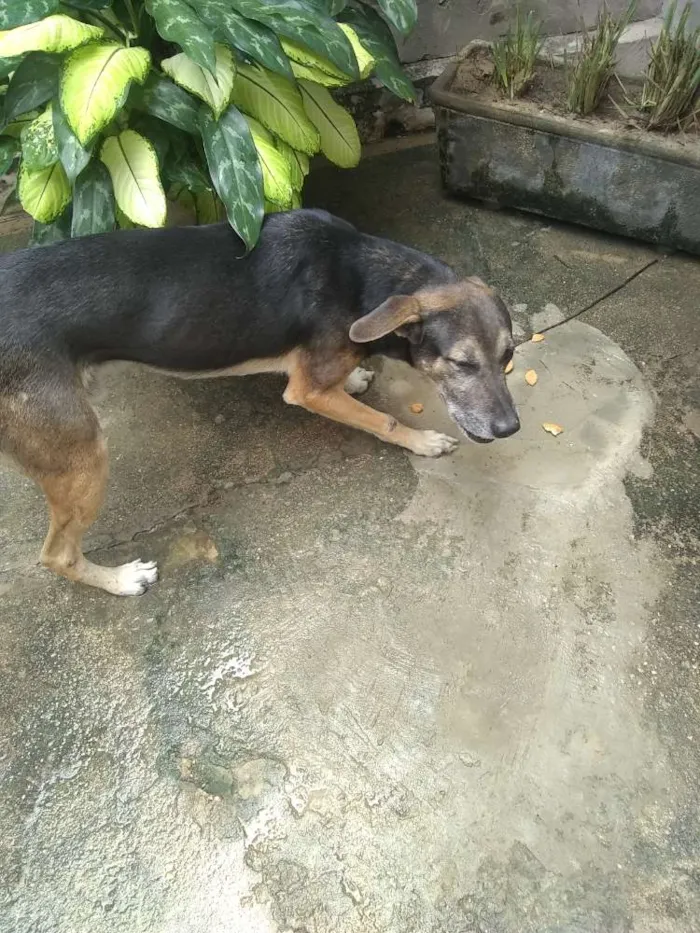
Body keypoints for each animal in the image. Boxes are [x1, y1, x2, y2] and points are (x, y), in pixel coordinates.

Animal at [0, 208, 516, 592]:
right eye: (462, 364)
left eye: (509, 355)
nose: (510, 429)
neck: (360, 277)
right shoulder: (306, 391)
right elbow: (383, 421)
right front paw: (423, 441)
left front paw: (353, 380)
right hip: (84, 457)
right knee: (56, 555)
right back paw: (121, 580)